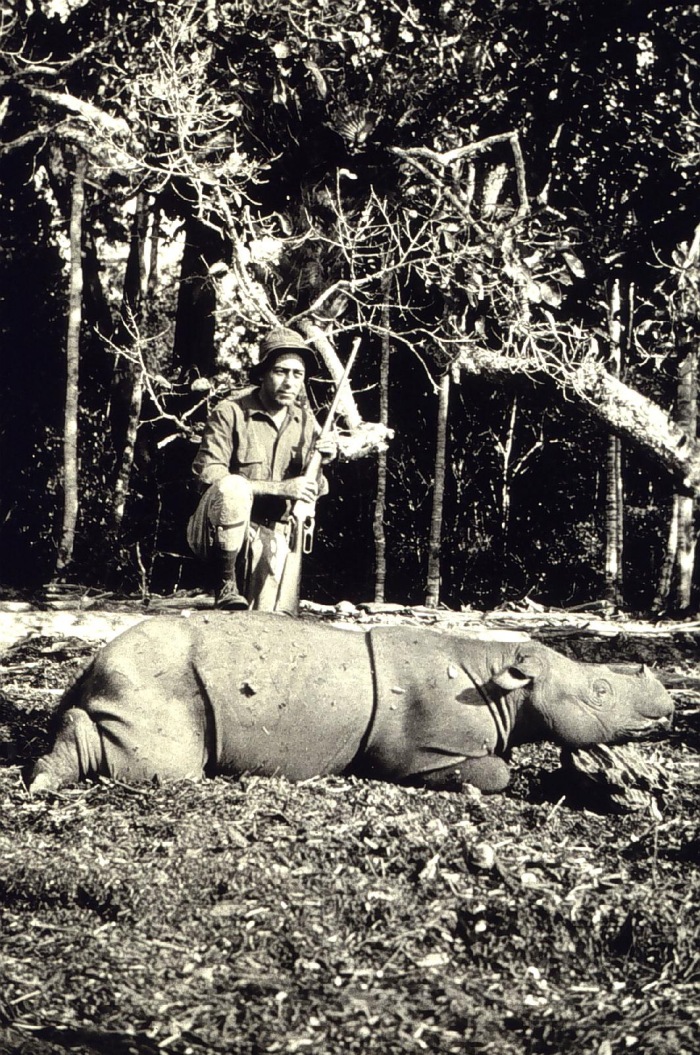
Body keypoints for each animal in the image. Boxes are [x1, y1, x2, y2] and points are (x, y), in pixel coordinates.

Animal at [26, 612, 673, 795]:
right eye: (600, 693)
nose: (667, 709)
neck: (505, 679)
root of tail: (90, 661)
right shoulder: (423, 751)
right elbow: (494, 772)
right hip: (159, 682)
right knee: (168, 767)